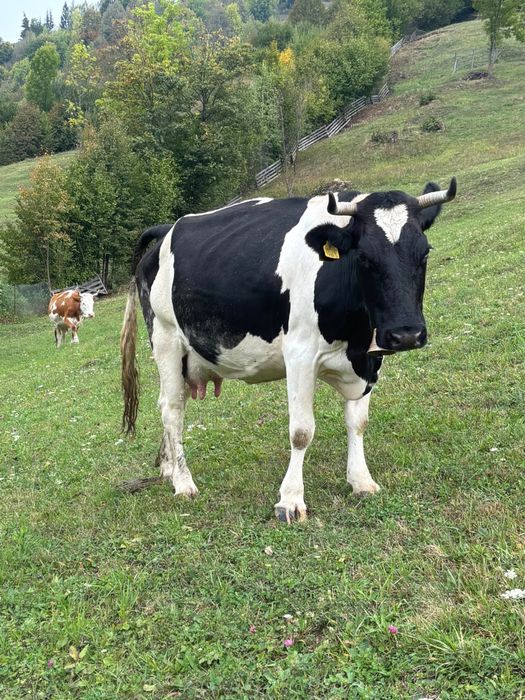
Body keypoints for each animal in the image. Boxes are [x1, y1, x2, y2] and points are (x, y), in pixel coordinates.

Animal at [120, 179, 456, 522]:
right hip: (166, 338)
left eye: (425, 252)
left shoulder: (370, 359)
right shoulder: (299, 353)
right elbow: (301, 431)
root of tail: (167, 228)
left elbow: (358, 422)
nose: (406, 334)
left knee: (173, 405)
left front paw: (361, 481)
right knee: (172, 408)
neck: (355, 340)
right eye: (363, 257)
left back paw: (168, 468)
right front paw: (290, 500)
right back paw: (183, 482)